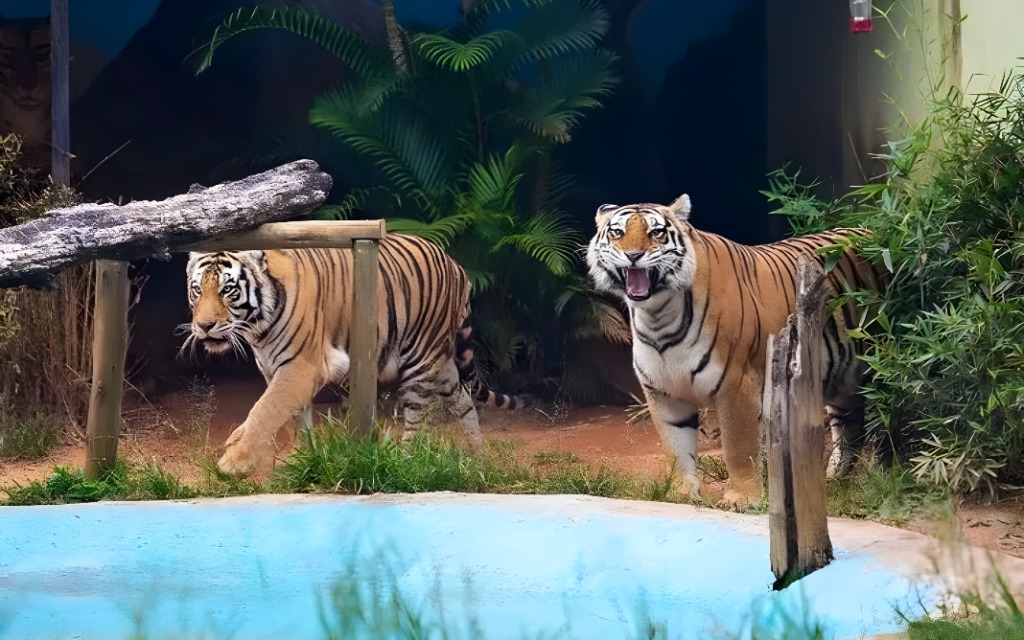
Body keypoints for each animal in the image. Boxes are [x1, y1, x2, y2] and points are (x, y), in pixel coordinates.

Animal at [183, 234, 525, 478]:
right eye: (197, 290)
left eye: (228, 290)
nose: (204, 326)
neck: (257, 328)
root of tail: (457, 266)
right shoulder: (274, 367)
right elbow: (292, 416)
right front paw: (297, 456)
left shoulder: (300, 367)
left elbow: (266, 410)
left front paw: (234, 464)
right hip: (442, 366)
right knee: (465, 400)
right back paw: (478, 458)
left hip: (421, 359)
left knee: (419, 417)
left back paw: (407, 461)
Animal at [586, 194, 883, 506]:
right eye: (617, 232)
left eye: (656, 232)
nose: (633, 255)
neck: (658, 316)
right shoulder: (663, 391)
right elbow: (675, 447)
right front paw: (682, 495)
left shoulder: (736, 383)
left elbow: (738, 446)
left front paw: (742, 499)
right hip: (841, 377)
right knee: (849, 426)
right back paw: (835, 480)